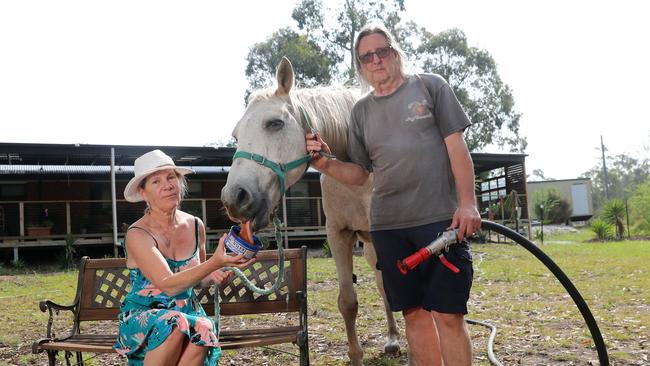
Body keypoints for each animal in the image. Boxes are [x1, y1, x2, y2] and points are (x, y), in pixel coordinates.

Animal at [223, 57, 400, 364]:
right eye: (236, 135)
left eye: (275, 123)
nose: (234, 197)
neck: (362, 175)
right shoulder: (338, 235)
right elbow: (348, 303)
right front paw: (356, 356)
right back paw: (391, 338)